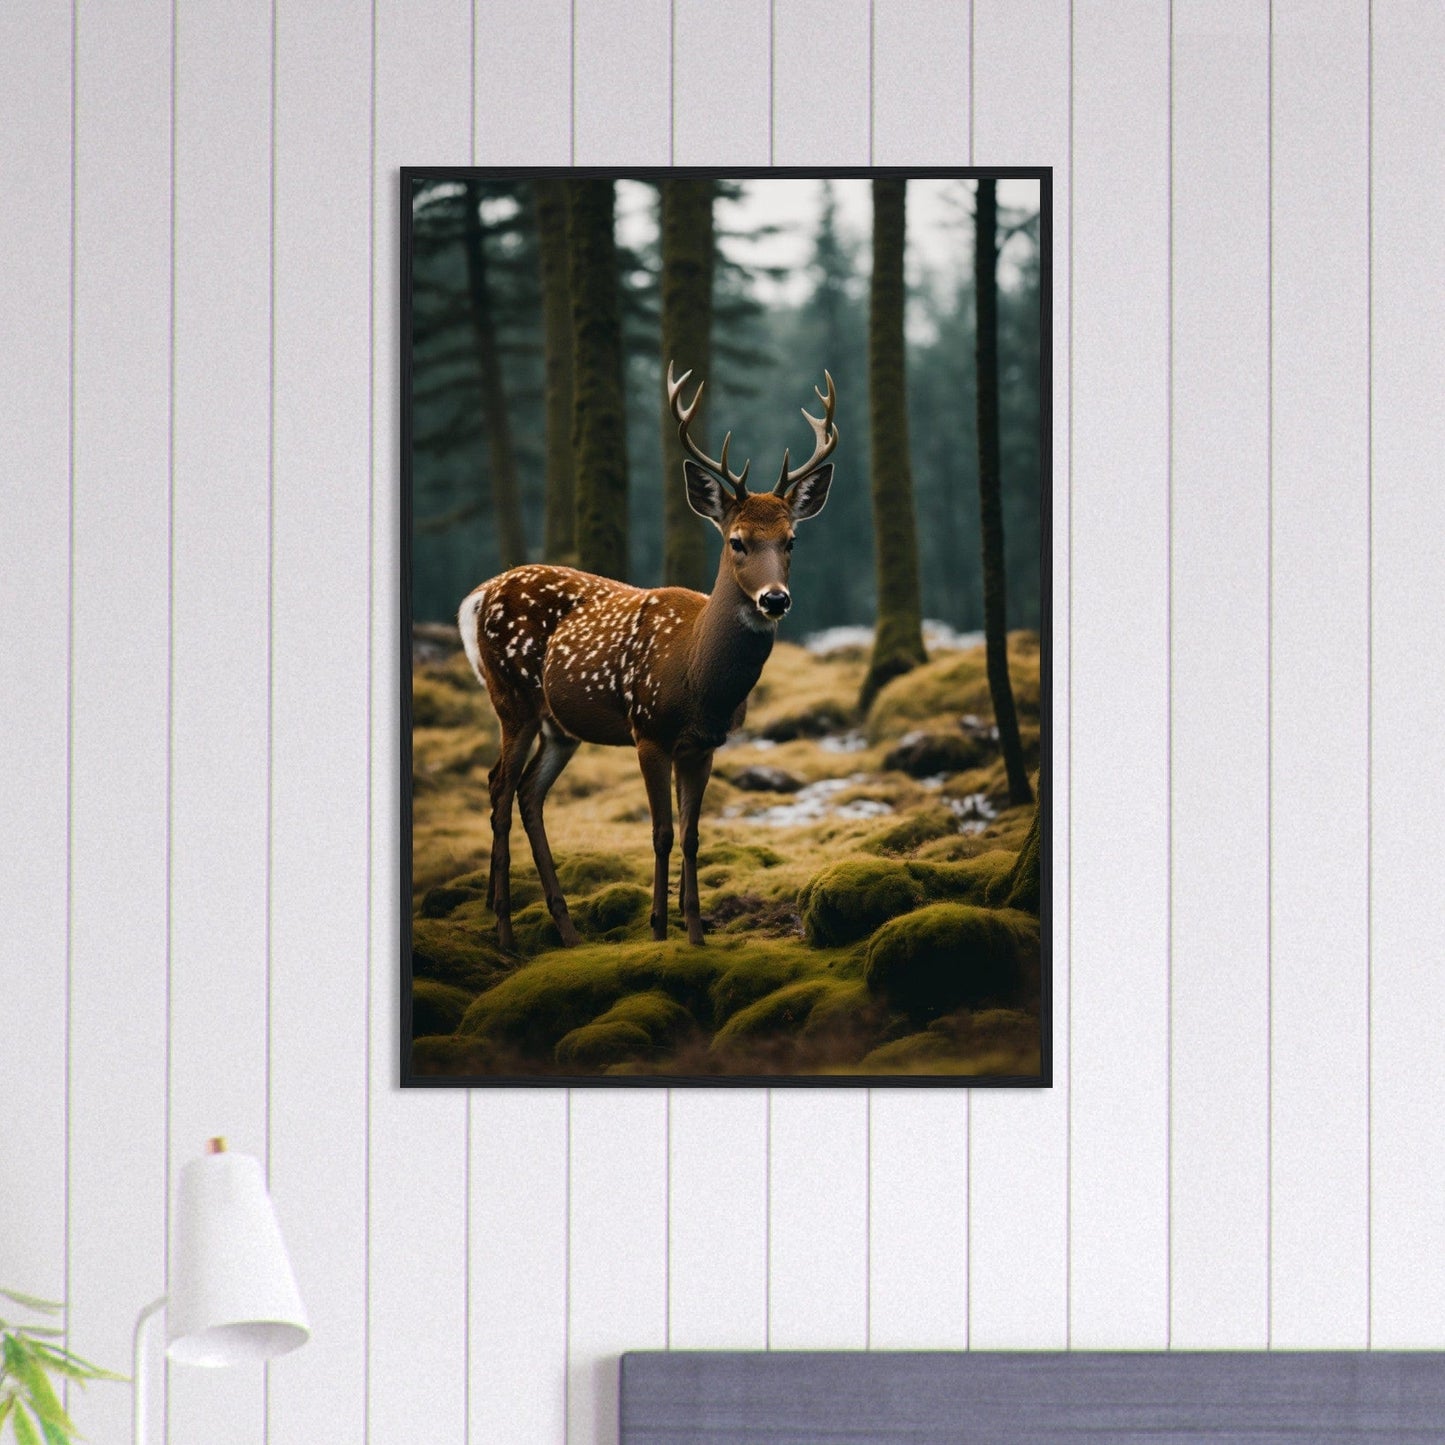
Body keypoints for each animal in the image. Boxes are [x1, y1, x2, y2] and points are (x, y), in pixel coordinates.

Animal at [457, 363, 837, 949]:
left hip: (558, 725)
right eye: (737, 540)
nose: (775, 599)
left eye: (791, 540)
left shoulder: (704, 743)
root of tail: (478, 595)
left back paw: (566, 930)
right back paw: (504, 930)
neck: (697, 677)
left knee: (527, 792)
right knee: (499, 785)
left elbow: (693, 834)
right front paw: (659, 930)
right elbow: (660, 833)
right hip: (511, 696)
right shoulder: (649, 728)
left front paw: (697, 932)